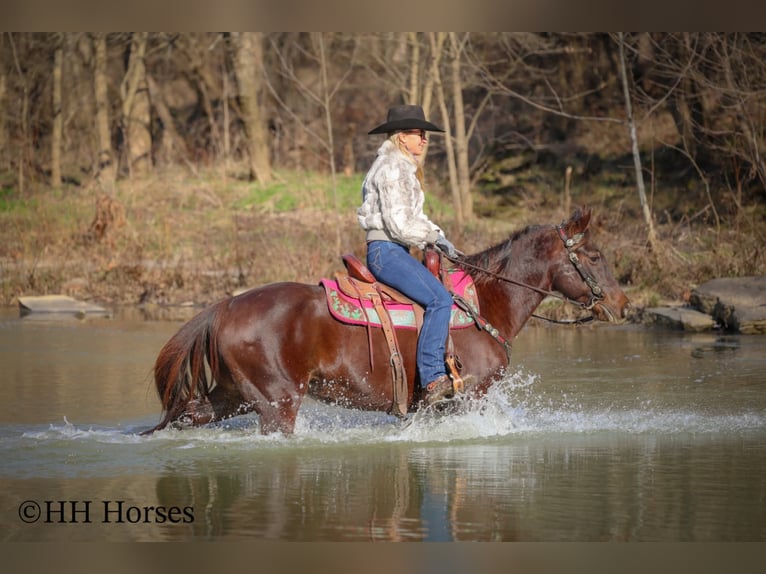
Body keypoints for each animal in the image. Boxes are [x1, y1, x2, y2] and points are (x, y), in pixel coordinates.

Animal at [144, 207, 629, 435]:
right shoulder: (469, 397)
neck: (484, 304)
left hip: (232, 396)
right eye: (594, 256)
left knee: (190, 414)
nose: (623, 304)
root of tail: (225, 306)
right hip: (277, 403)